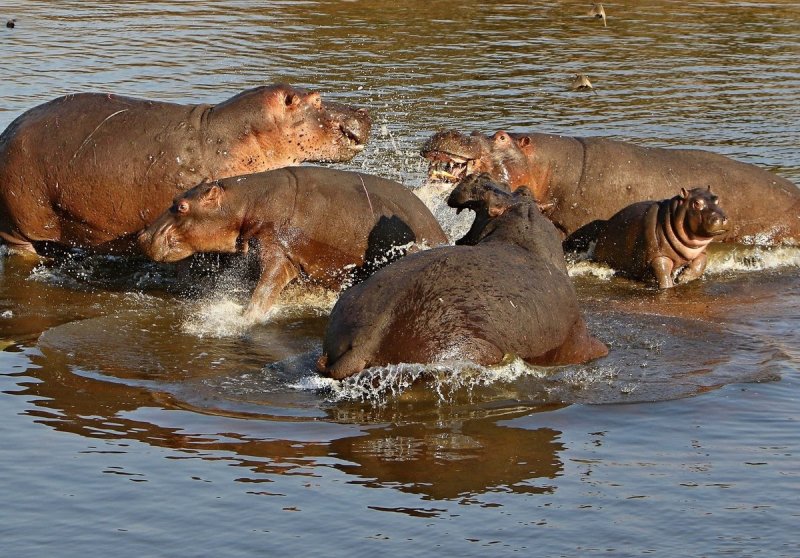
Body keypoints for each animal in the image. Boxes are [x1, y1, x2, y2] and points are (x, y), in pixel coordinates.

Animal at [138, 166, 450, 322]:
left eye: (182, 207)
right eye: (175, 197)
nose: (141, 236)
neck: (244, 202)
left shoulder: (279, 250)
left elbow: (265, 288)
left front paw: (245, 319)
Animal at [592, 188, 732, 290]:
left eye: (717, 199)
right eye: (696, 203)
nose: (722, 218)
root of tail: (606, 226)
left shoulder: (700, 252)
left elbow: (701, 263)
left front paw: (683, 278)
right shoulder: (658, 256)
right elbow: (663, 273)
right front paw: (668, 287)